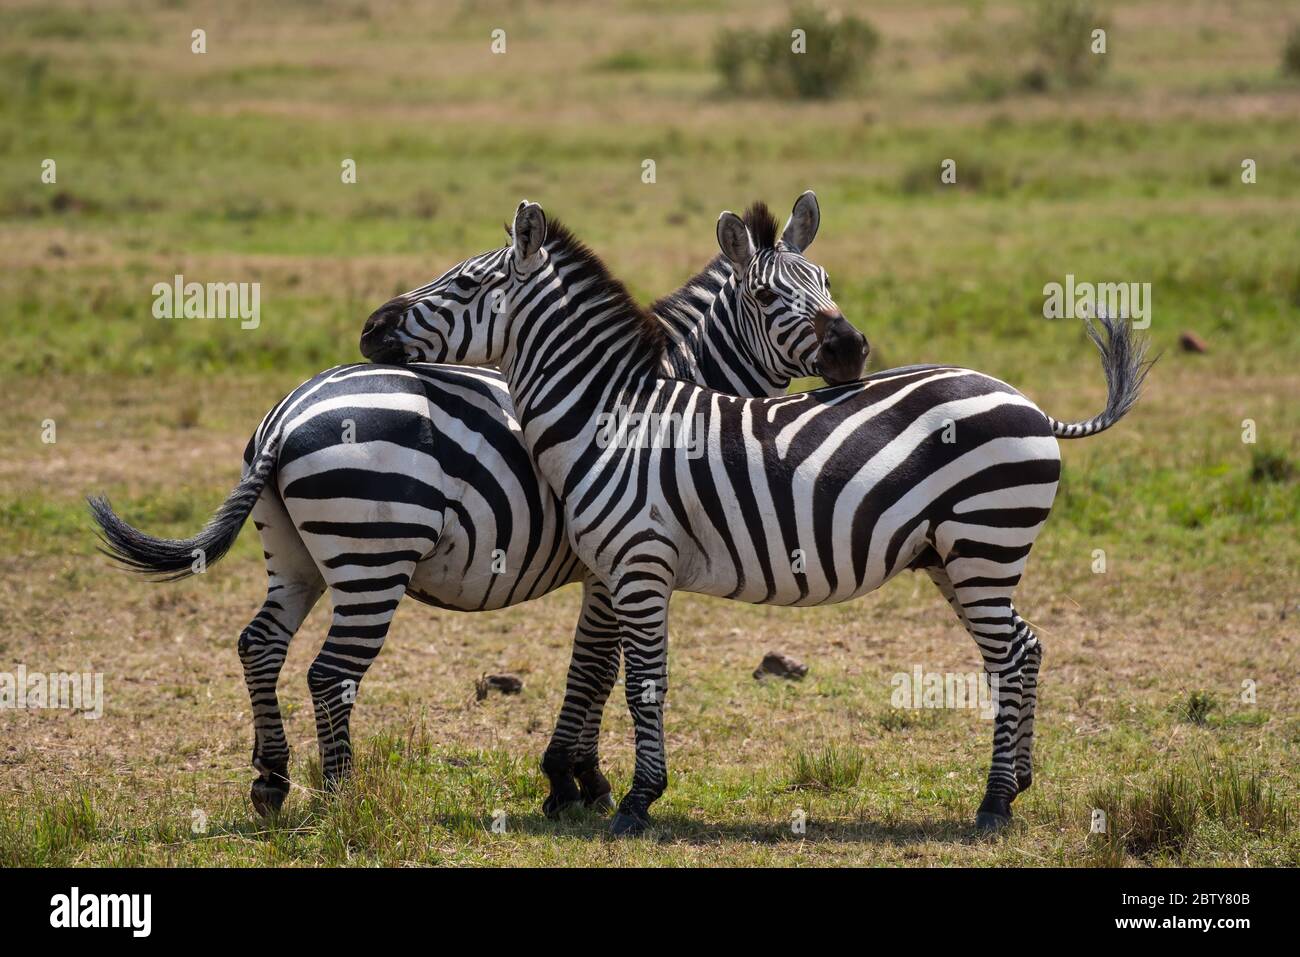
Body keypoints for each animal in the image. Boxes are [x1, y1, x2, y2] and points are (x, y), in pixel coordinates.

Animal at [90, 192, 865, 818]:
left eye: (827, 282)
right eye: (766, 298)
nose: (852, 348)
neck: (663, 387)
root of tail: (285, 416)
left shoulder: (614, 559)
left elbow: (597, 664)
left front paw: (576, 779)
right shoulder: (616, 560)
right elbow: (597, 665)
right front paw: (575, 782)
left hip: (295, 553)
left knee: (260, 644)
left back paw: (272, 781)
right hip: (372, 556)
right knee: (330, 673)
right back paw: (342, 798)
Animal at [359, 199, 1151, 836]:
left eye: (463, 283)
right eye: (770, 294)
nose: (370, 327)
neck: (612, 416)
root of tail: (1029, 402)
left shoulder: (638, 564)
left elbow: (636, 680)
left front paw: (633, 803)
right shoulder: (614, 570)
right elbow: (606, 671)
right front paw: (589, 786)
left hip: (984, 543)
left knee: (1011, 656)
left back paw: (992, 804)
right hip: (957, 557)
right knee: (1025, 647)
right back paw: (1016, 786)